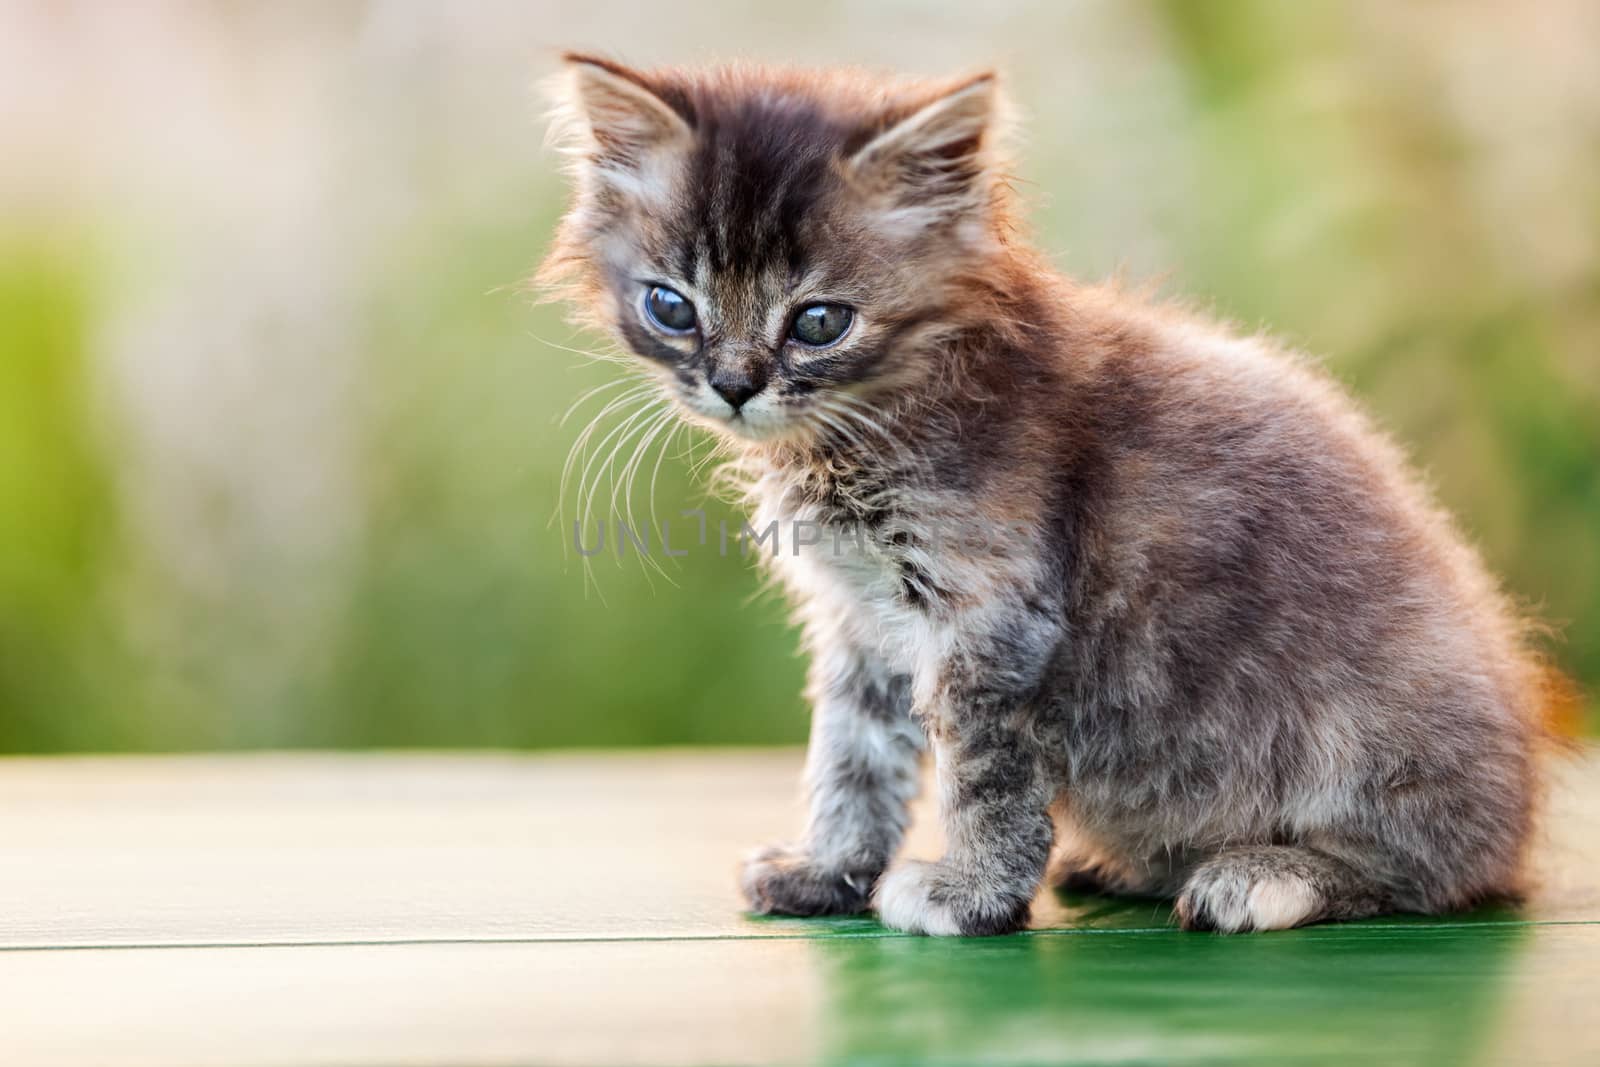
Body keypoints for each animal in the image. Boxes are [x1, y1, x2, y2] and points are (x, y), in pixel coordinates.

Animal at [540, 54, 1574, 934]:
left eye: (820, 322)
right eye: (671, 306)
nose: (734, 383)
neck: (868, 427)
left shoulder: (990, 615)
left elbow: (982, 773)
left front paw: (969, 894)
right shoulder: (863, 622)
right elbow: (851, 757)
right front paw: (828, 870)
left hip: (1373, 735)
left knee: (1434, 871)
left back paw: (1261, 874)